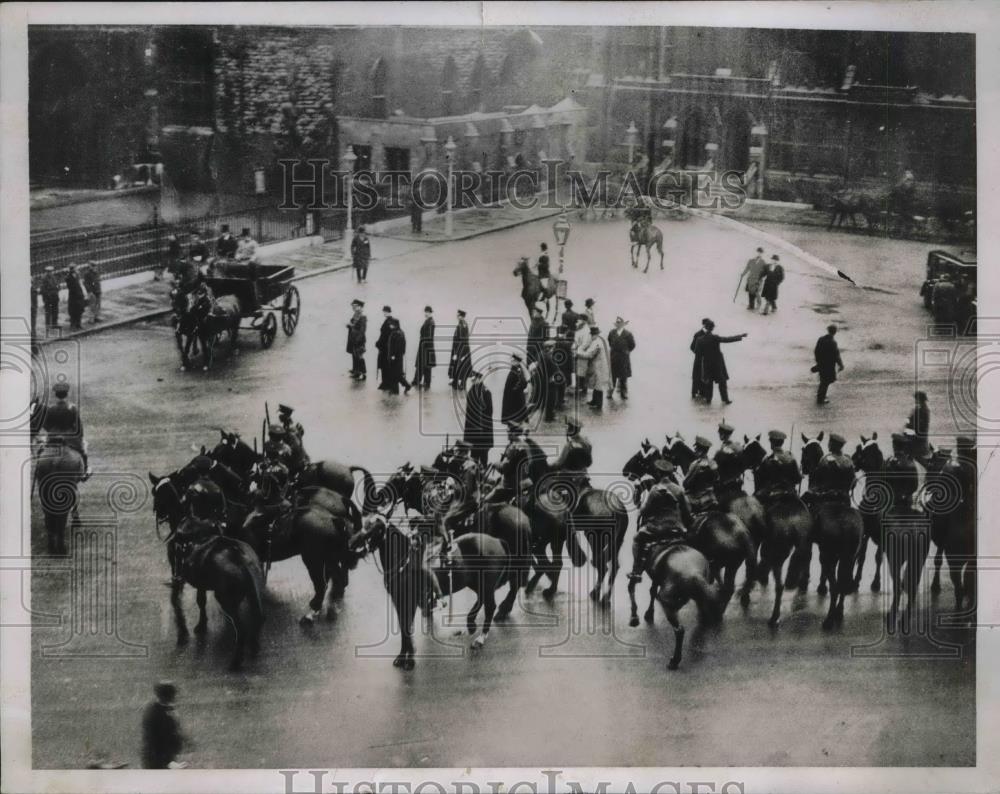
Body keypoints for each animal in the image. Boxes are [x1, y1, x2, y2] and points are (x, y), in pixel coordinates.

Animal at [169, 516, 270, 672]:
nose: (175, 537)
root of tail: (242, 561)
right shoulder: (200, 584)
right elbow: (201, 601)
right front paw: (201, 625)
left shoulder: (192, 582)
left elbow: (197, 601)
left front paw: (197, 627)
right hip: (254, 592)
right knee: (259, 616)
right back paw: (254, 646)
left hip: (225, 599)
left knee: (242, 629)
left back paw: (236, 662)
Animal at [624, 540, 720, 668]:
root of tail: (695, 573)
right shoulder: (656, 578)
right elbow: (652, 591)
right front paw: (648, 613)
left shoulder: (638, 566)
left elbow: (632, 587)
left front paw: (635, 617)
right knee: (703, 616)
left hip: (667, 603)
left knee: (679, 630)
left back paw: (674, 661)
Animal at [800, 430, 864, 628]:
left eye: (803, 450)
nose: (803, 468)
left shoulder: (817, 546)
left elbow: (810, 559)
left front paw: (817, 585)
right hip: (849, 557)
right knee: (842, 584)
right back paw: (840, 612)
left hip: (830, 554)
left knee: (836, 585)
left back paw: (829, 618)